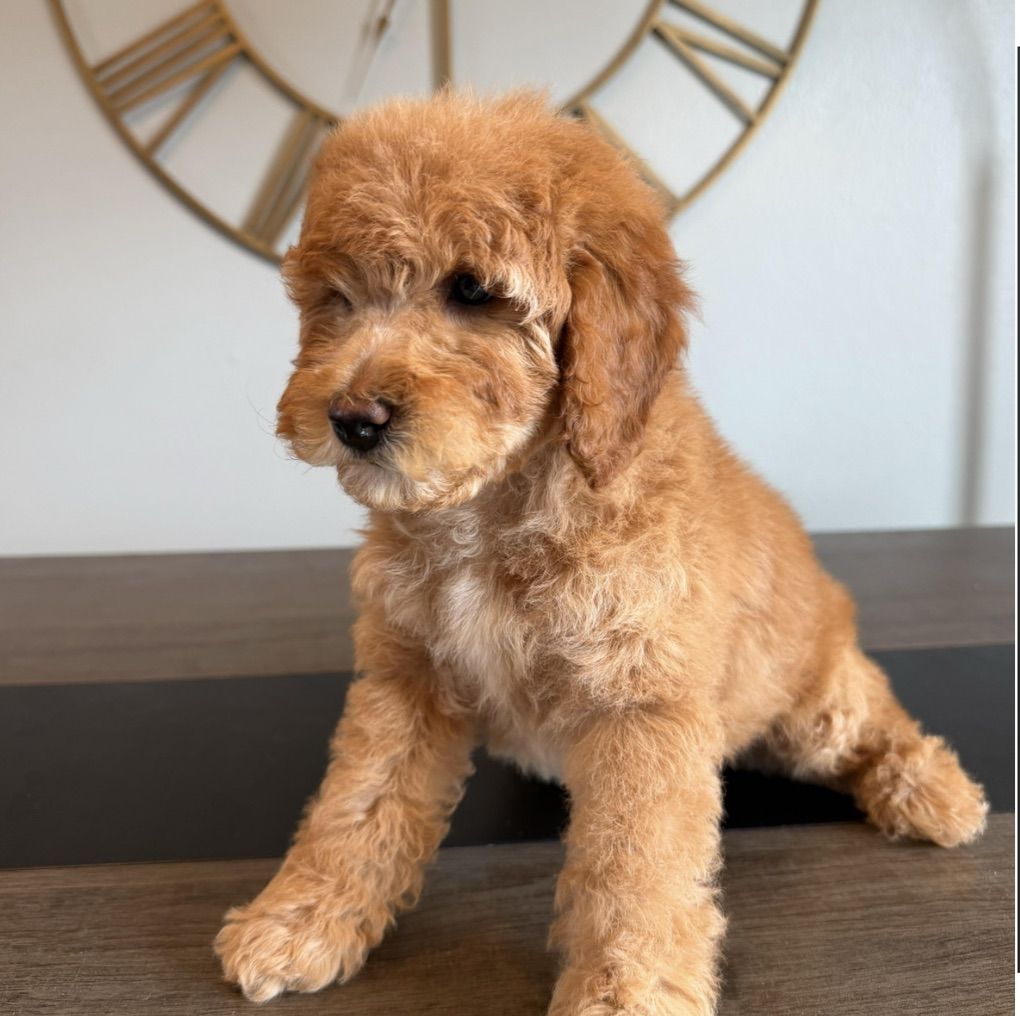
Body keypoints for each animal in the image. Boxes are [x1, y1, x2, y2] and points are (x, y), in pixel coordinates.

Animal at [214, 91, 988, 1014]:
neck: (494, 508)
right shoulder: (408, 674)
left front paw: (625, 990)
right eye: (339, 297)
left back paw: (934, 790)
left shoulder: (640, 703)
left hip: (809, 696)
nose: (351, 418)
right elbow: (357, 803)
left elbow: (635, 865)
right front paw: (299, 921)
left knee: (871, 715)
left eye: (471, 290)